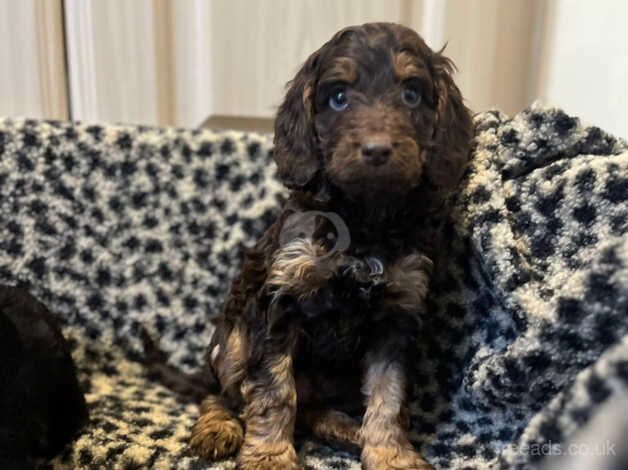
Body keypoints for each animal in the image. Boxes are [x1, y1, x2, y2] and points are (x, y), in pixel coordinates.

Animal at [189, 23, 474, 470]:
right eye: (339, 97)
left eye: (411, 94)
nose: (377, 150)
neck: (363, 221)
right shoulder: (280, 302)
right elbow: (273, 390)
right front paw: (269, 456)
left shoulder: (397, 315)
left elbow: (388, 395)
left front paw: (390, 454)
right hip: (232, 337)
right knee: (220, 390)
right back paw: (218, 426)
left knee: (313, 408)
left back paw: (345, 429)